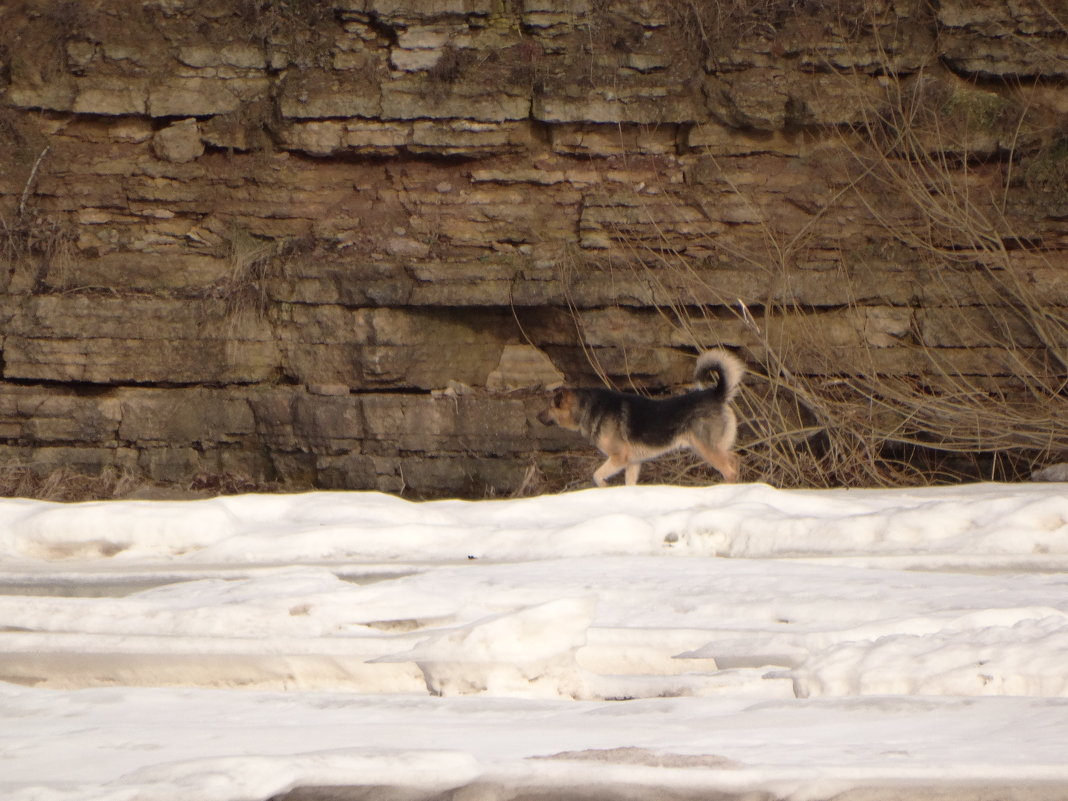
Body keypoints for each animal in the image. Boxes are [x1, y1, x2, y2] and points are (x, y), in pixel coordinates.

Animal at [538, 350, 747, 489]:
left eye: (549, 406)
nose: (537, 416)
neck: (587, 407)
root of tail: (717, 394)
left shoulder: (619, 459)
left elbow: (597, 475)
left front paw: (604, 488)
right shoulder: (633, 463)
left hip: (707, 449)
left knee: (729, 468)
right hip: (709, 448)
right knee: (735, 459)